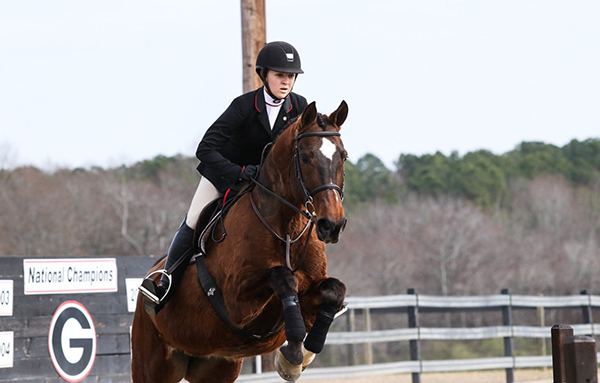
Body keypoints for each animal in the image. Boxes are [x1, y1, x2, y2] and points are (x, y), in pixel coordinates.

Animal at [129, 100, 350, 382]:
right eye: (305, 157)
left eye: (343, 156)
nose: (332, 225)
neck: (288, 228)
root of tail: (152, 274)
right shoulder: (236, 302)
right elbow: (283, 277)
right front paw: (291, 355)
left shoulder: (312, 291)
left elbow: (334, 290)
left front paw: (302, 355)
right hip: (151, 364)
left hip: (216, 367)